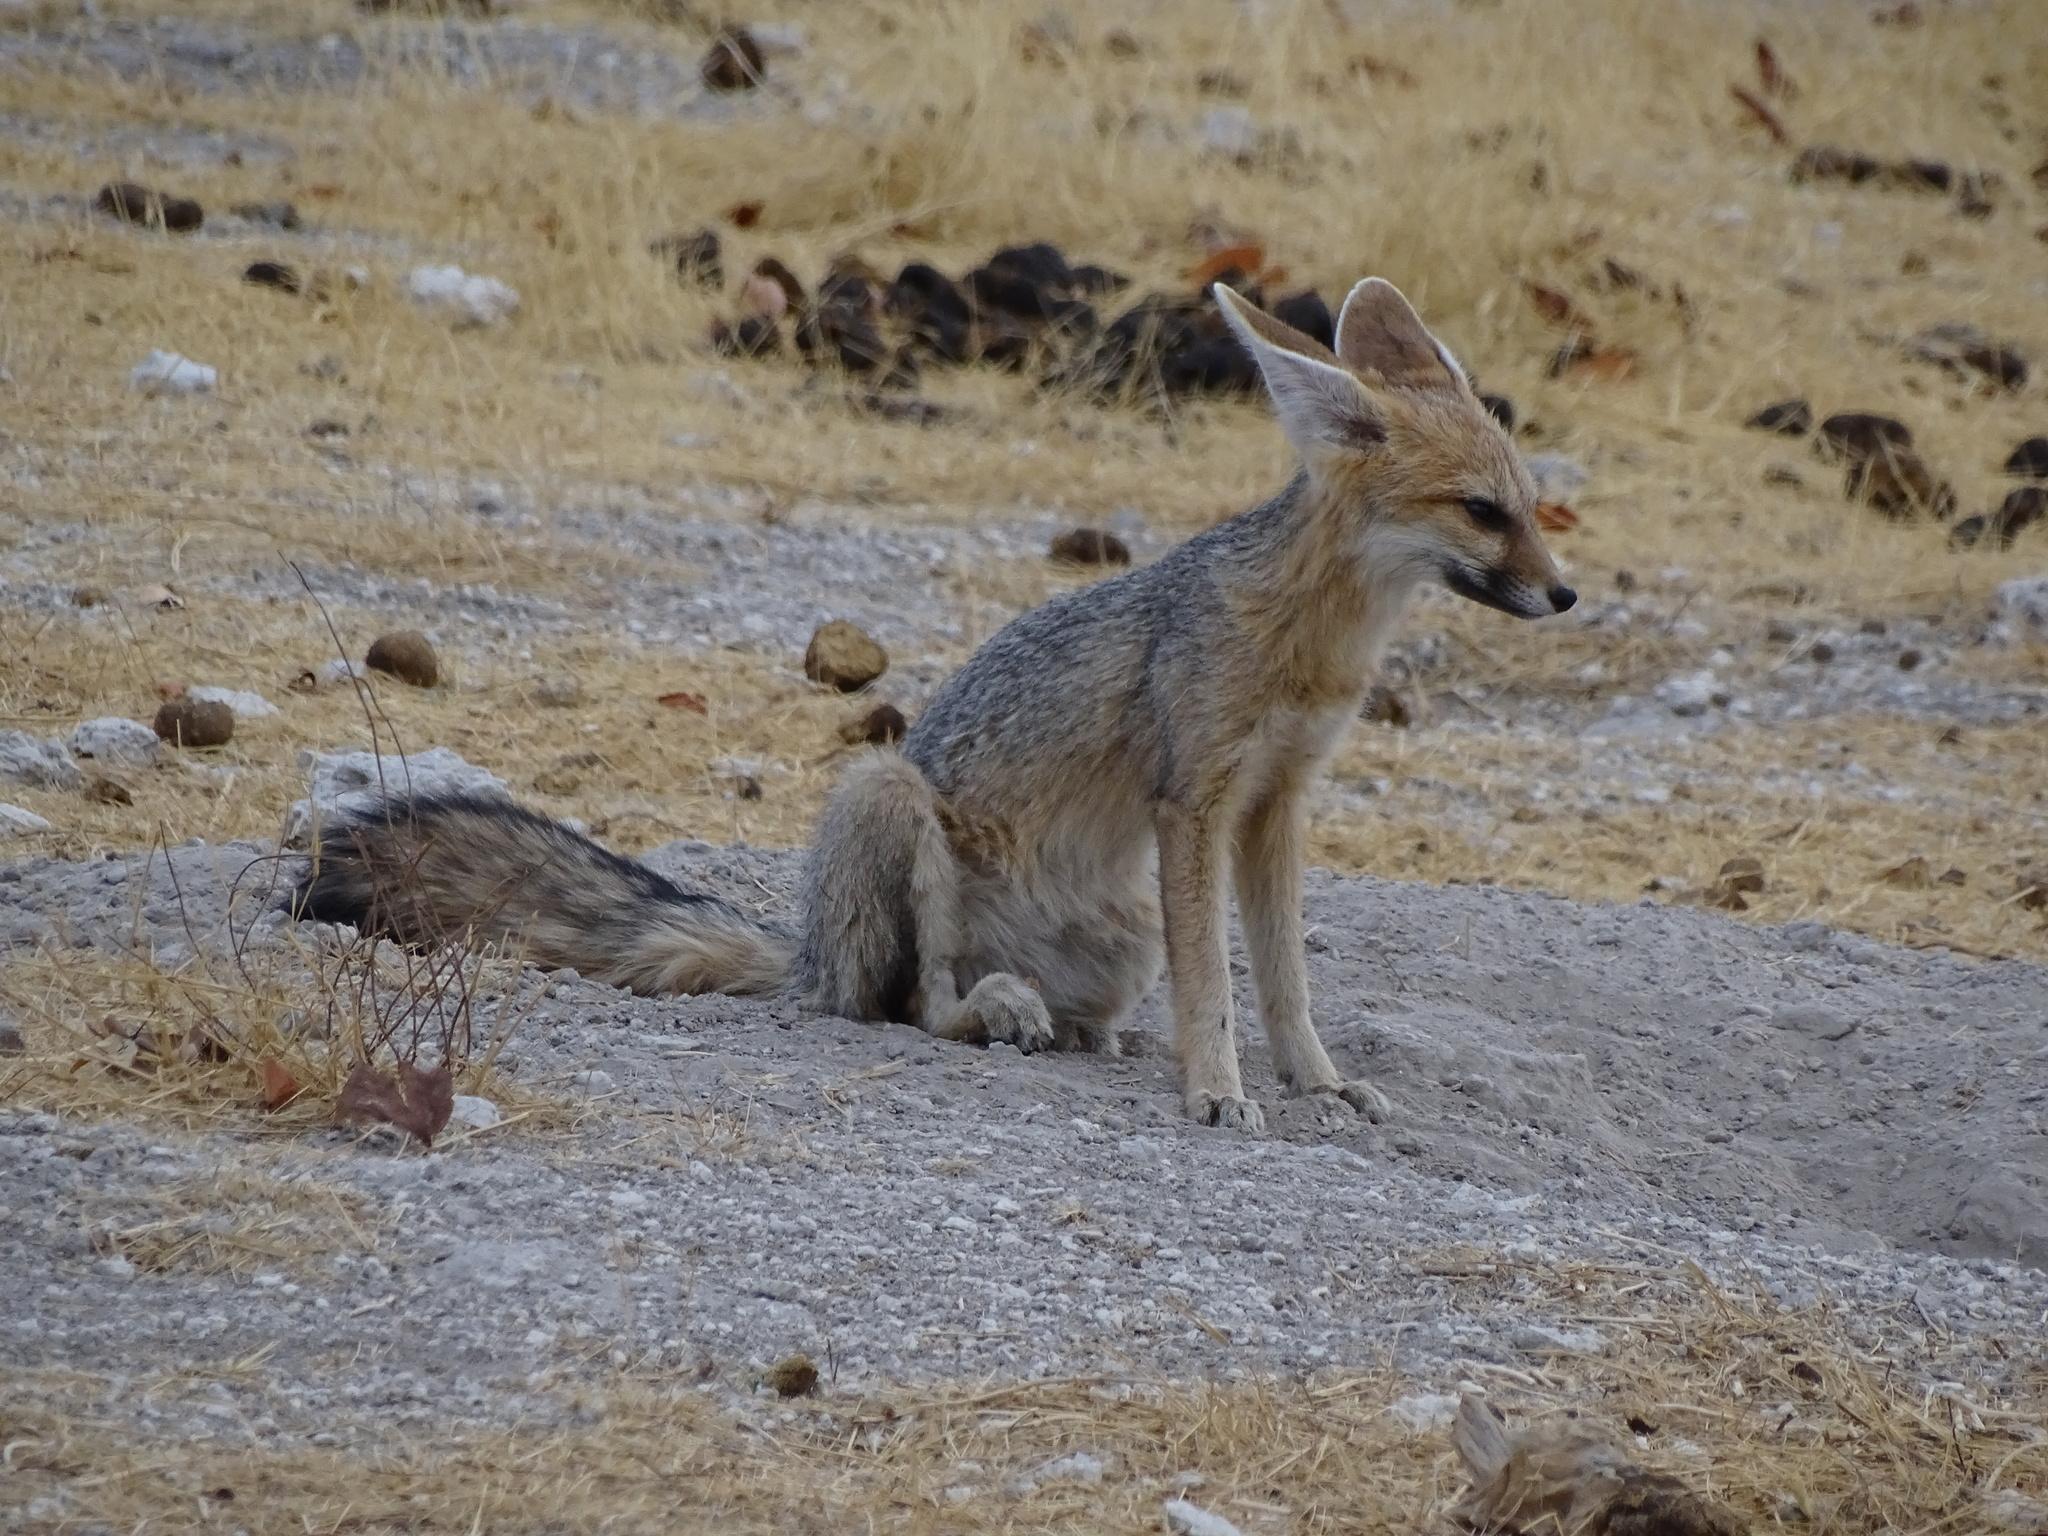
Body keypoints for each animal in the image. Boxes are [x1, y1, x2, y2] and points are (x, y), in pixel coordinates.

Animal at [295, 276, 1575, 1131]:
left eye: (1530, 504)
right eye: (1479, 512)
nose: (1563, 594)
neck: (1310, 645)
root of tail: (806, 951)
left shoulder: (1276, 806)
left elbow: (1285, 979)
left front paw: (1315, 1080)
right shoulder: (1195, 803)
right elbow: (1218, 983)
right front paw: (1215, 1092)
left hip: (1121, 930)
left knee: (1028, 1005)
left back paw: (1058, 1021)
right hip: (888, 795)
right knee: (910, 1001)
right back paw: (986, 1010)